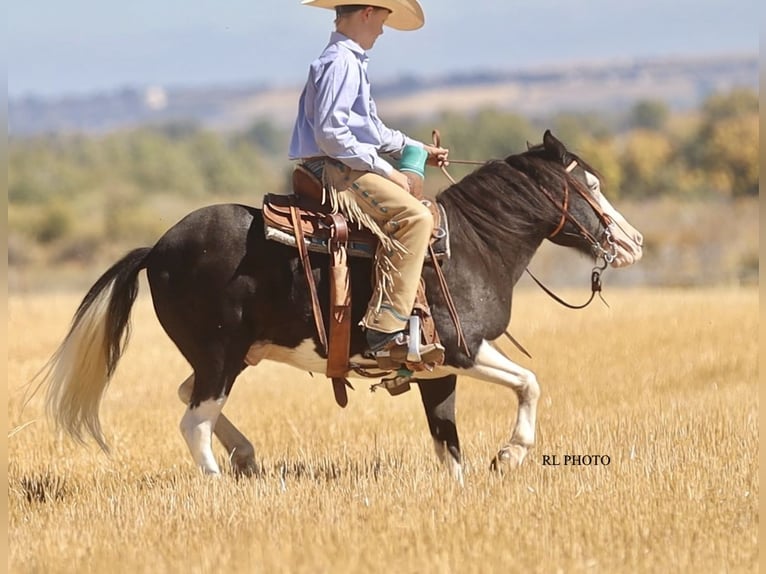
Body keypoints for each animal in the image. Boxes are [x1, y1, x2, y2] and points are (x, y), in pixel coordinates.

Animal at [40, 130, 643, 483]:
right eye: (591, 184)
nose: (632, 242)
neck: (474, 245)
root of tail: (158, 248)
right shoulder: (461, 351)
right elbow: (526, 385)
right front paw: (510, 454)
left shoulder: (440, 367)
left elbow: (450, 439)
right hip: (220, 356)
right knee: (194, 420)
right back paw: (217, 482)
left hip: (233, 356)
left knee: (189, 397)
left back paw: (246, 457)